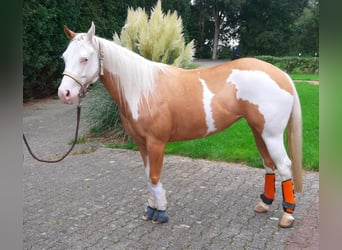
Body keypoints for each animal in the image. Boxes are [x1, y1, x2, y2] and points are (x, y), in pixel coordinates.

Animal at [58, 23, 302, 229]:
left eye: (85, 58)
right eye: (64, 57)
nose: (64, 93)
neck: (142, 89)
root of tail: (282, 75)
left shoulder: (156, 143)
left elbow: (154, 176)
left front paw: (161, 213)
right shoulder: (141, 143)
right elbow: (147, 176)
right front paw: (151, 209)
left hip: (271, 135)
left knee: (284, 166)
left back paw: (287, 215)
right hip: (258, 131)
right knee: (268, 164)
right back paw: (264, 204)